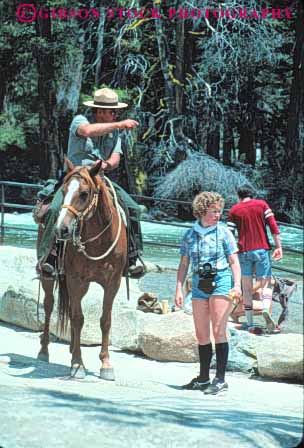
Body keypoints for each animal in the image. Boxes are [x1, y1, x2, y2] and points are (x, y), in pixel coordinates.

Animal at [37, 159, 127, 380]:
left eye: (85, 193)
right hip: (49, 277)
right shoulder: (75, 279)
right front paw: (77, 364)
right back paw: (44, 351)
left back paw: (71, 348)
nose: (61, 229)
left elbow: (105, 320)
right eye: (64, 190)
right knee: (49, 306)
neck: (98, 242)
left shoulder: (113, 283)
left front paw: (106, 364)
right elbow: (78, 319)